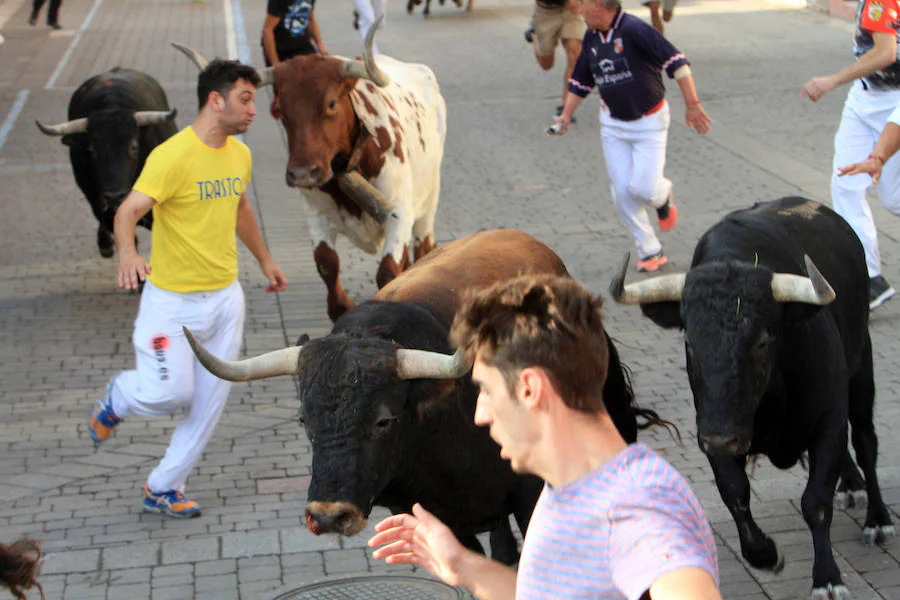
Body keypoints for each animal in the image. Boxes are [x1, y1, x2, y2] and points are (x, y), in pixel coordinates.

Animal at [173, 21, 446, 324]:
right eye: (280, 109)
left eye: (331, 103)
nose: (303, 173)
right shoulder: (316, 214)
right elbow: (327, 265)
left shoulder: (399, 214)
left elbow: (387, 272)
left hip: (428, 204)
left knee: (424, 248)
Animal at [608, 196, 896, 596]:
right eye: (690, 342)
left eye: (762, 341)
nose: (720, 438)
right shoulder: (714, 426)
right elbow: (735, 493)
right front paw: (766, 554)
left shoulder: (828, 419)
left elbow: (816, 501)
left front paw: (827, 578)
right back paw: (851, 485)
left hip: (861, 369)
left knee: (867, 440)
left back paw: (878, 519)